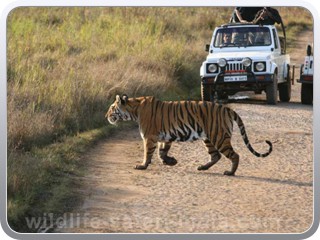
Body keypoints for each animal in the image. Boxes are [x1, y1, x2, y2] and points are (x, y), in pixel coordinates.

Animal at [105, 94, 272, 175]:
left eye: (112, 108)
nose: (106, 116)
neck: (134, 109)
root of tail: (227, 108)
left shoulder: (149, 137)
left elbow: (148, 153)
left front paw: (142, 165)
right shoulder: (164, 137)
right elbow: (161, 152)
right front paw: (171, 162)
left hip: (218, 137)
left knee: (234, 155)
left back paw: (230, 172)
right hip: (208, 138)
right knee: (215, 156)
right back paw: (202, 167)